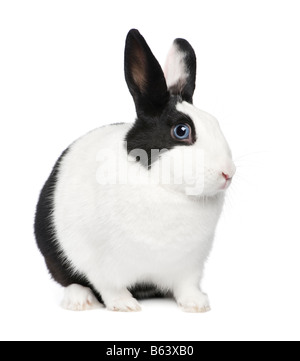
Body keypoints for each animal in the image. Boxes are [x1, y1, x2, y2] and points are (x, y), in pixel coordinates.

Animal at [35, 30, 236, 312]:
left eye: (215, 123)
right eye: (181, 131)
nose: (228, 173)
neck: (166, 189)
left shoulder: (190, 265)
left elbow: (187, 286)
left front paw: (198, 304)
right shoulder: (101, 264)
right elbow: (110, 288)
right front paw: (125, 305)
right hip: (54, 254)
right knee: (69, 280)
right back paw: (80, 301)